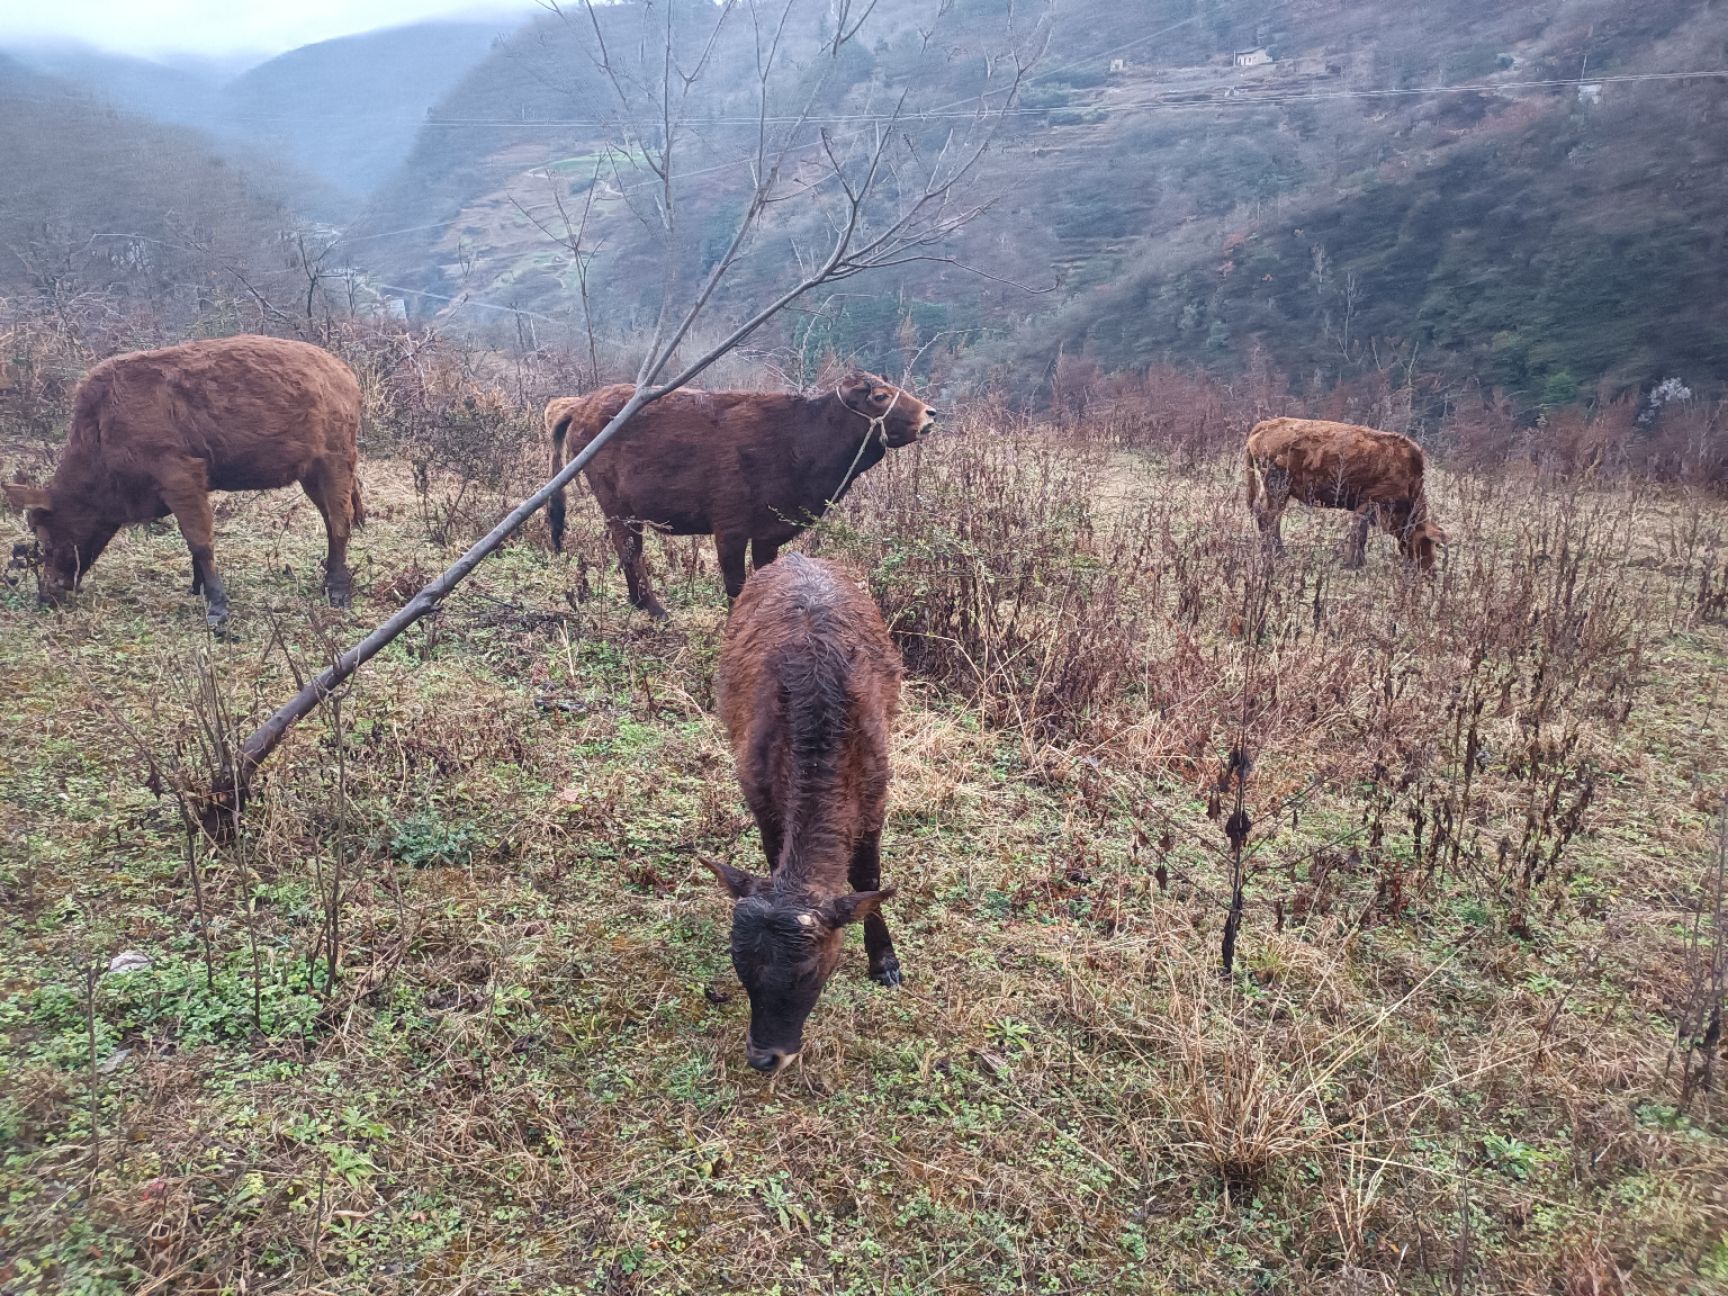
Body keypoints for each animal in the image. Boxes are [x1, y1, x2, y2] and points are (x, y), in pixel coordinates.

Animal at [0, 330, 361, 625]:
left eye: (45, 539)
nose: (46, 594)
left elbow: (199, 541)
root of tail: (344, 372)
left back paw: (338, 592)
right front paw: (197, 588)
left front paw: (217, 610)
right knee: (331, 518)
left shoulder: (180, 474)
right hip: (310, 471)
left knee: (340, 520)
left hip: (336, 457)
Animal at [542, 373, 940, 622]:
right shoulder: (730, 529)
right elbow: (736, 583)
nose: (930, 414)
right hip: (618, 507)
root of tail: (583, 403)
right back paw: (654, 608)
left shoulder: (768, 534)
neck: (799, 438)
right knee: (629, 551)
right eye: (880, 396)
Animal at [708, 559, 912, 1078]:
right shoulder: (758, 792)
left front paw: (885, 961)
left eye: (809, 973)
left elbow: (867, 878)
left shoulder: (877, 793)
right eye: (740, 966)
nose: (765, 1057)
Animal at [1244, 418, 1444, 570]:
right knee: (1271, 517)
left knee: (1263, 514)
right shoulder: (1370, 503)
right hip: (1278, 488)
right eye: (1426, 541)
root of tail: (1265, 425)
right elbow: (1359, 534)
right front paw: (1355, 563)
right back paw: (1278, 553)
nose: (1428, 569)